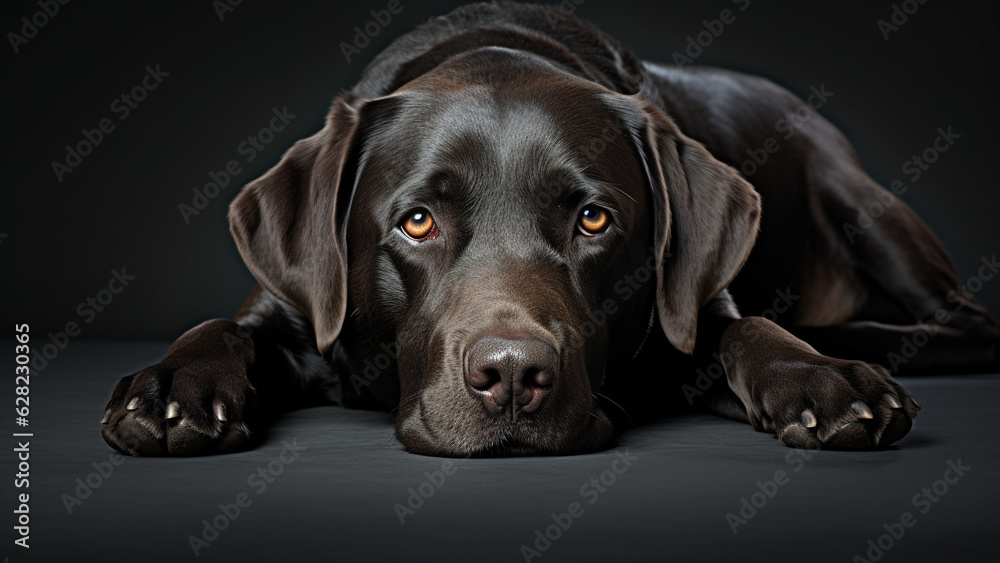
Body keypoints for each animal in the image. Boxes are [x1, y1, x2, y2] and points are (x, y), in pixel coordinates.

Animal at [101, 1, 1000, 458]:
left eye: (593, 218)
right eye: (417, 221)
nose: (512, 375)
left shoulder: (692, 307)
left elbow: (751, 331)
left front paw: (822, 378)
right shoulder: (291, 310)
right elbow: (222, 327)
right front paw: (171, 388)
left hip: (856, 197)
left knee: (968, 321)